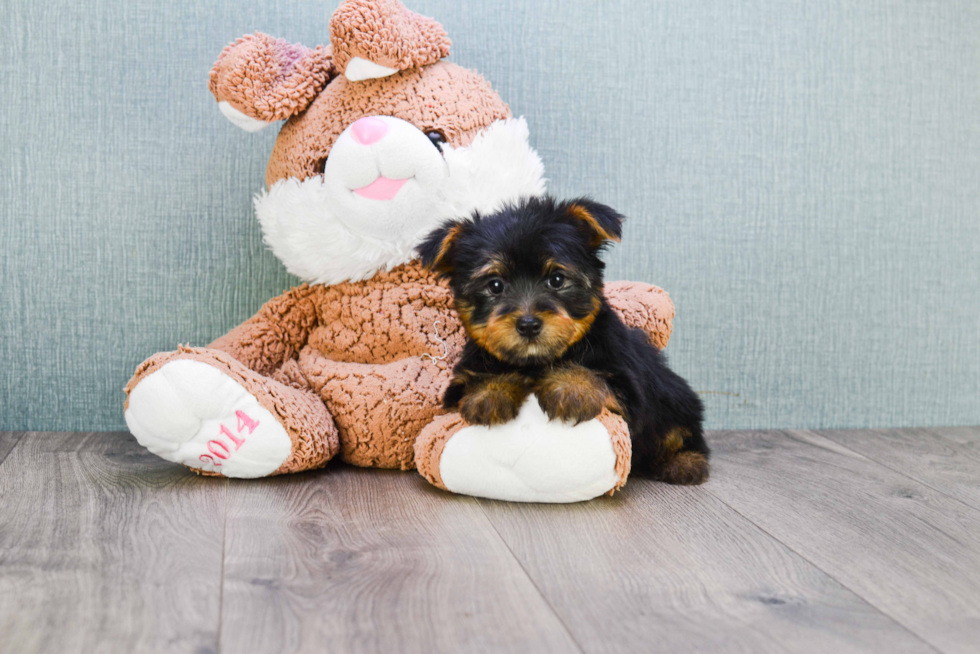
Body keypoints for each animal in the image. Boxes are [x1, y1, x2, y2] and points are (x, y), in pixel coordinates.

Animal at [418, 197, 708, 484]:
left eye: (556, 279)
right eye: (495, 285)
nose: (528, 324)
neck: (538, 361)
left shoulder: (629, 385)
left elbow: (596, 375)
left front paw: (572, 388)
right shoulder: (458, 387)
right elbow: (478, 380)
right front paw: (491, 391)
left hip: (674, 399)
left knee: (681, 432)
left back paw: (684, 462)